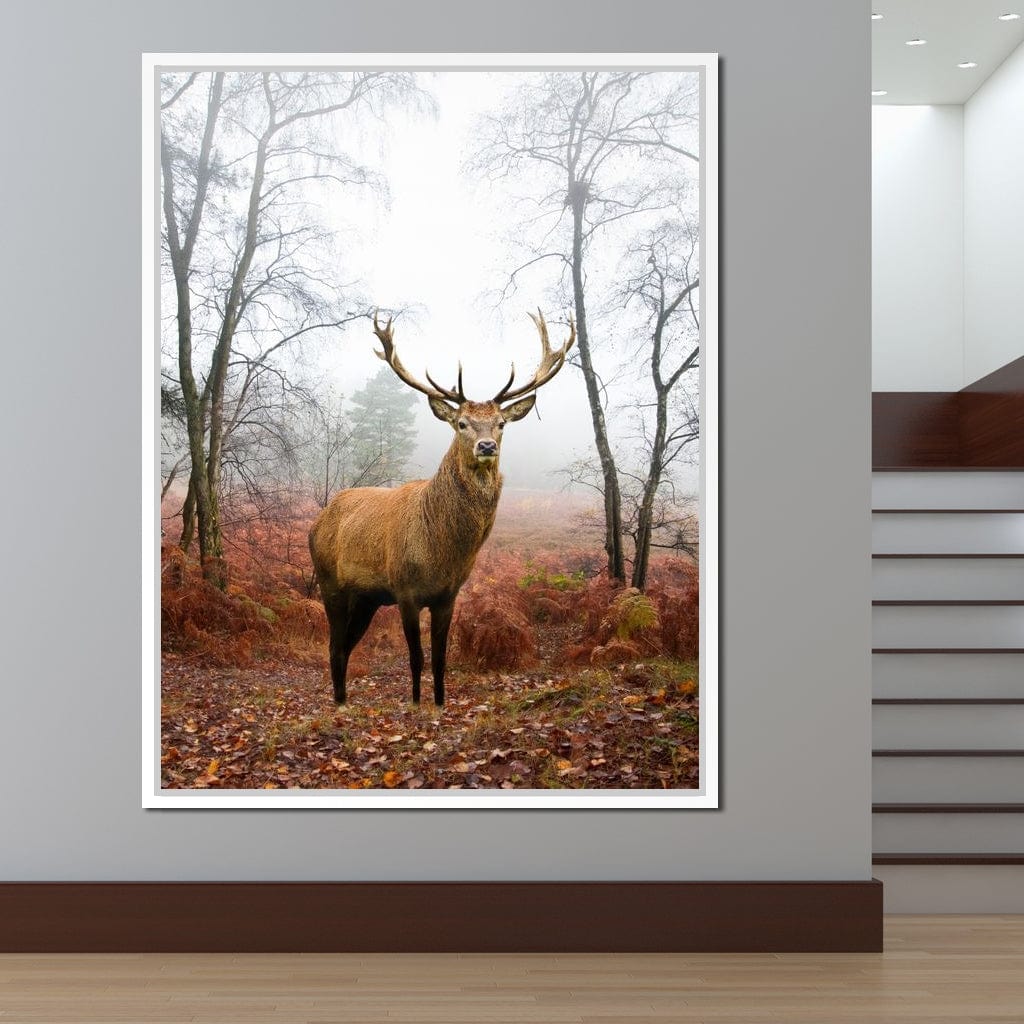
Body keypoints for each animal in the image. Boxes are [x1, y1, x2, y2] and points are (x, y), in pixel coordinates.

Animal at [309, 310, 575, 706]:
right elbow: (416, 658)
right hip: (330, 583)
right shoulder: (404, 590)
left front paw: (438, 703)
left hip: (367, 598)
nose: (486, 446)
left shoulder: (448, 595)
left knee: (345, 645)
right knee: (334, 646)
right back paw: (339, 704)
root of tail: (317, 521)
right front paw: (417, 703)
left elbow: (440, 659)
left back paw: (343, 700)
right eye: (461, 423)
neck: (441, 550)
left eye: (500, 424)